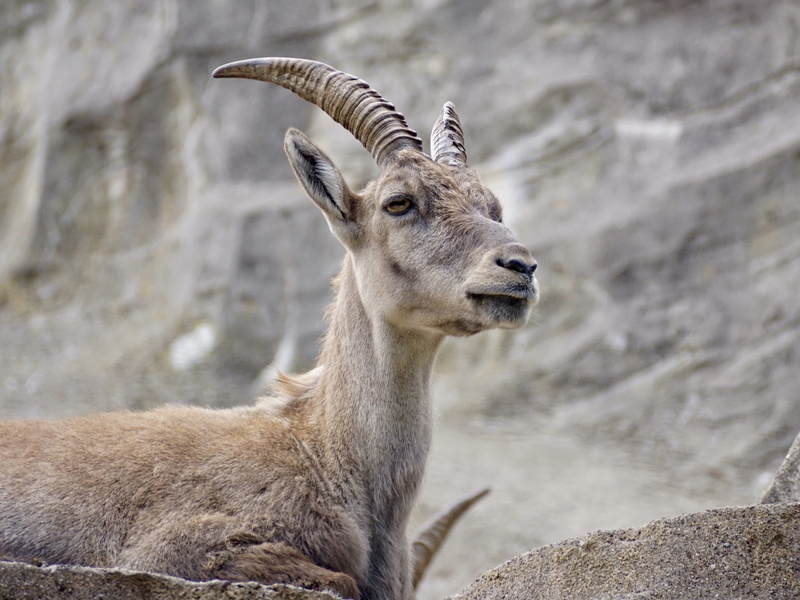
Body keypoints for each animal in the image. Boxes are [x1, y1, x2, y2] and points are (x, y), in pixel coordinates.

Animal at [0, 58, 538, 600]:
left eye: (493, 206)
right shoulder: (174, 548)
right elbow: (340, 579)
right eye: (398, 203)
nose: (520, 266)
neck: (323, 455)